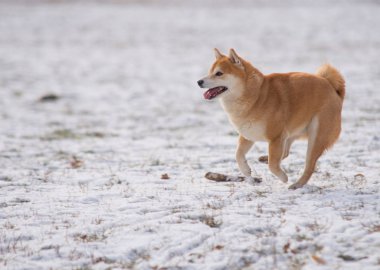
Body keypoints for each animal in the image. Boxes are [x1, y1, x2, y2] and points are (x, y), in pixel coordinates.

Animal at [197, 48, 346, 189]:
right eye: (210, 72)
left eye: (219, 73)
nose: (199, 81)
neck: (256, 97)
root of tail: (331, 86)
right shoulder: (248, 135)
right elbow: (238, 156)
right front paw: (247, 171)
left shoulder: (275, 137)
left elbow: (273, 165)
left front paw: (283, 177)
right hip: (290, 134)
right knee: (285, 153)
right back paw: (264, 158)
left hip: (315, 138)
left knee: (308, 167)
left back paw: (297, 184)